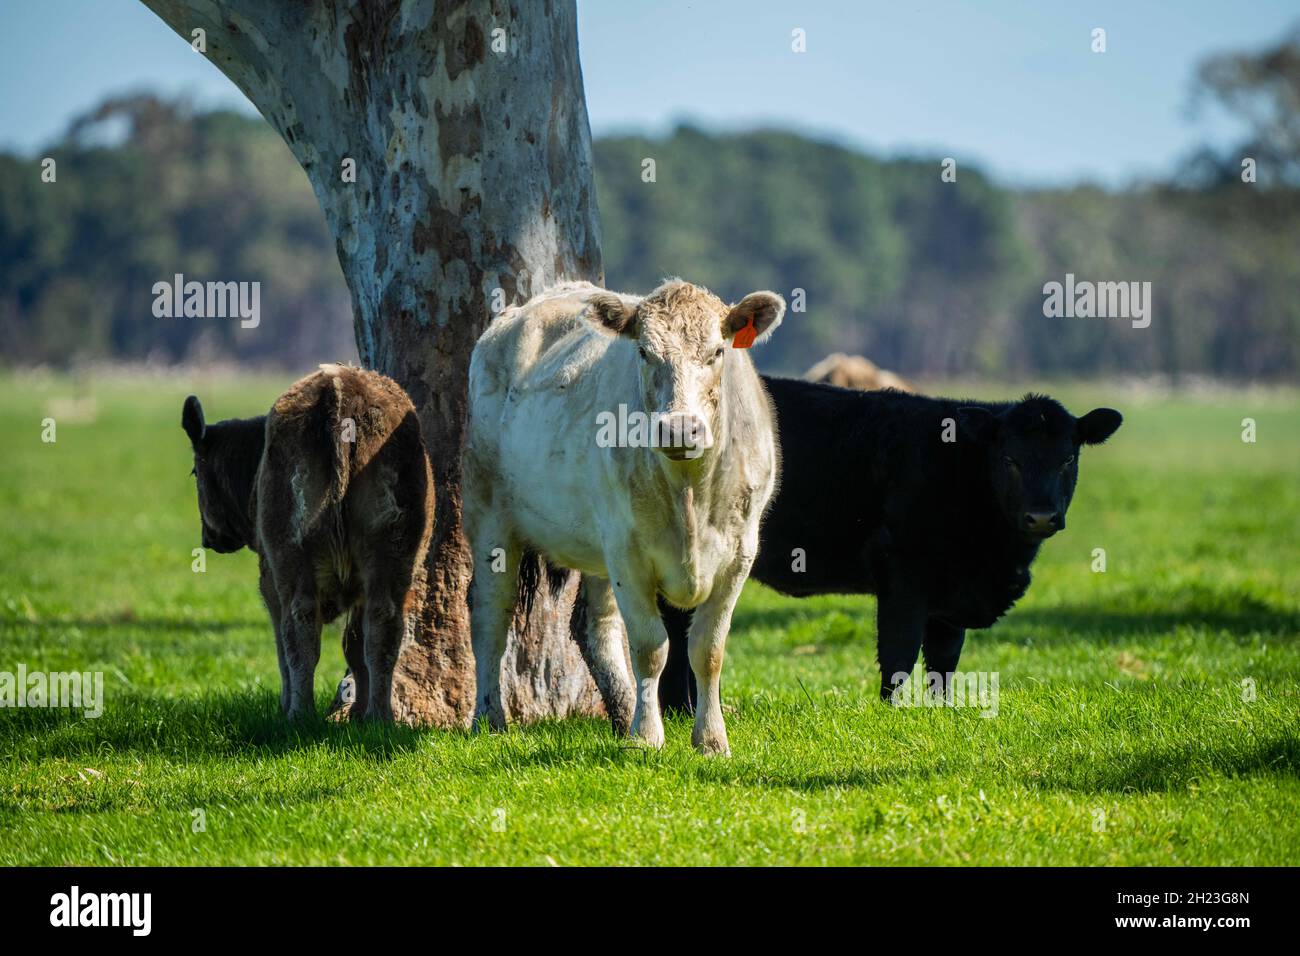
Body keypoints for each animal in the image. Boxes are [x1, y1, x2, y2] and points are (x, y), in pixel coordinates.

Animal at [180, 366, 434, 723]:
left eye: (195, 471)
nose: (209, 538)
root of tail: (339, 388)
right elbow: (353, 647)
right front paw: (357, 712)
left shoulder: (268, 583)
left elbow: (282, 644)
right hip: (389, 557)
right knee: (382, 625)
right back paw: (377, 716)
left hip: (292, 560)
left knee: (299, 630)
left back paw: (298, 713)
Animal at [470, 278, 790, 754]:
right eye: (643, 351)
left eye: (717, 351)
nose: (679, 428)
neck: (690, 491)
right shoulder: (629, 553)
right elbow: (650, 648)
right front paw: (646, 737)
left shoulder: (739, 554)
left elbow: (707, 650)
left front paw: (711, 740)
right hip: (489, 512)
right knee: (490, 614)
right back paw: (488, 718)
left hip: (599, 547)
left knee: (595, 628)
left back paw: (622, 714)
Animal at [665, 374, 1123, 712]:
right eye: (1010, 459)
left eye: (1068, 459)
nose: (1041, 516)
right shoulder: (903, 574)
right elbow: (899, 652)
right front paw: (891, 712)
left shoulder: (951, 594)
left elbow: (944, 659)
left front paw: (942, 710)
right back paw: (680, 710)